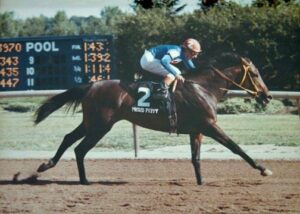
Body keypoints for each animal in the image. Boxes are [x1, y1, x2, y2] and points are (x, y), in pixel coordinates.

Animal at [35, 53, 274, 184]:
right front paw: (263, 168)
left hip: (91, 123)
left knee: (69, 139)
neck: (203, 88)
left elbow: (196, 158)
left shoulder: (196, 130)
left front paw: (200, 182)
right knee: (80, 148)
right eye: (254, 74)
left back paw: (47, 165)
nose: (267, 95)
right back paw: (84, 180)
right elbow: (236, 147)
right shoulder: (209, 126)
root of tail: (91, 86)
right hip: (101, 126)